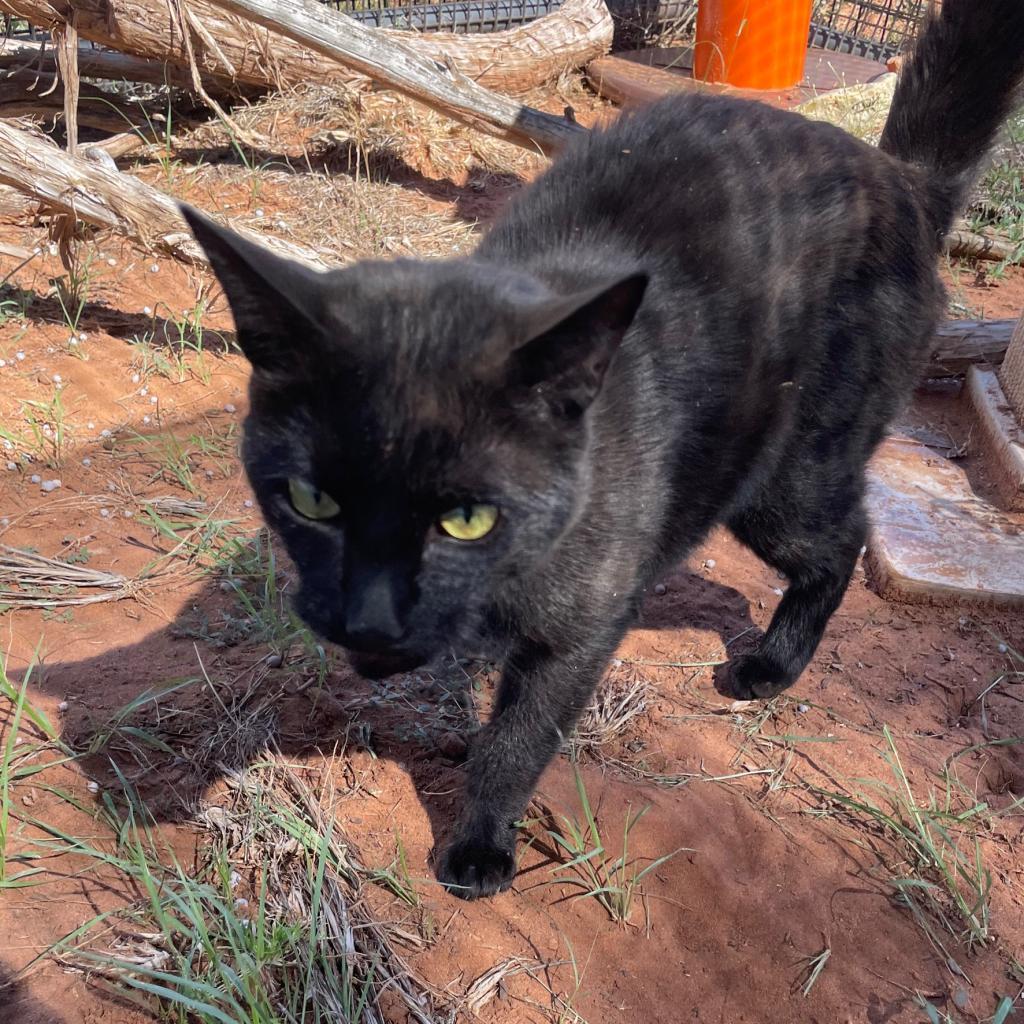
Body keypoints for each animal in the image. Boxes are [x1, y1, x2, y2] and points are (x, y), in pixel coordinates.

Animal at [186, 0, 1024, 897]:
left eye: (468, 519)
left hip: (785, 478)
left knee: (844, 540)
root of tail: (899, 178)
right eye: (311, 501)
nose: (369, 618)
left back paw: (773, 665)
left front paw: (479, 845)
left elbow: (517, 742)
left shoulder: (579, 631)